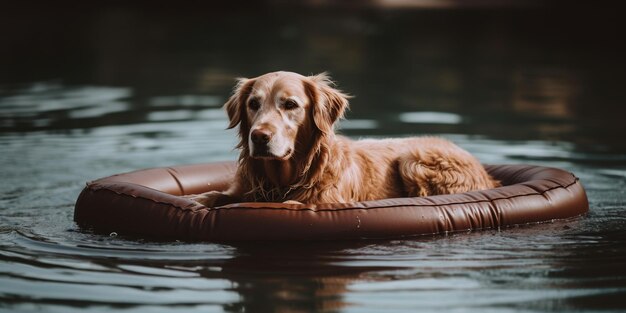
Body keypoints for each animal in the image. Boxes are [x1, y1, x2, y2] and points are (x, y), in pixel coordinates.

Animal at [188, 71, 500, 206]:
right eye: (253, 104)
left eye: (290, 104)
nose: (259, 137)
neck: (283, 179)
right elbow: (213, 195)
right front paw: (200, 200)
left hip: (414, 160)